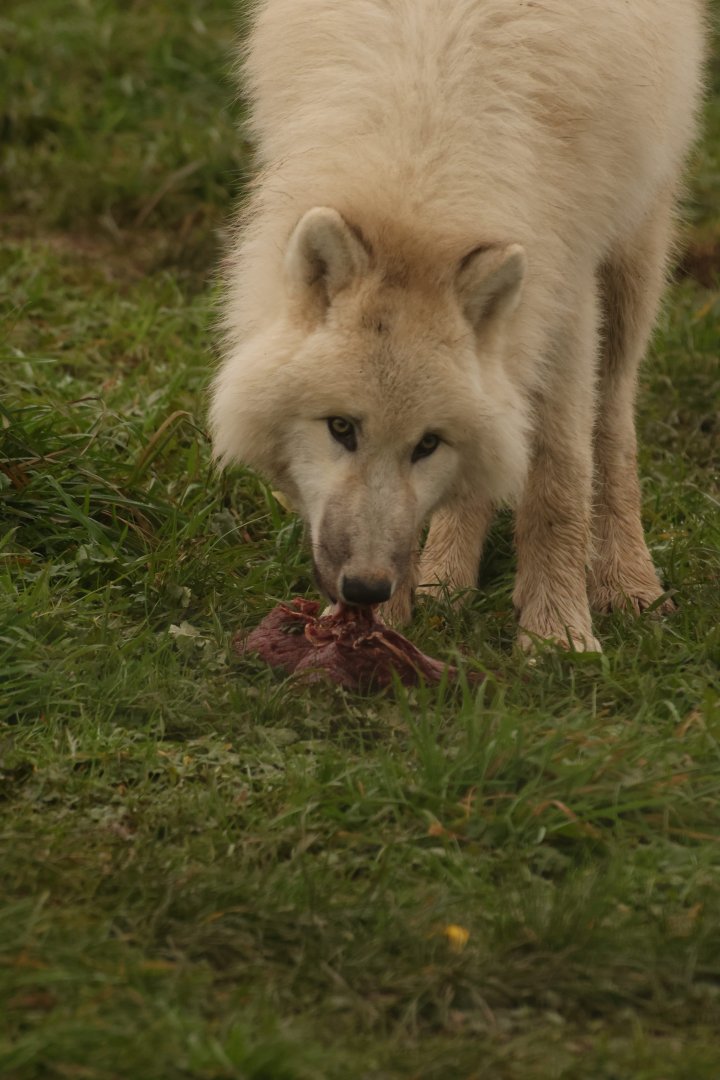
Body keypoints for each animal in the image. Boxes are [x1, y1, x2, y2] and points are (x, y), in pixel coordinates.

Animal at [210, 0, 705, 651]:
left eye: (426, 444)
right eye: (341, 428)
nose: (365, 589)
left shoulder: (565, 303)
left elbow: (559, 478)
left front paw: (558, 637)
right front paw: (390, 623)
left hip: (632, 265)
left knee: (613, 424)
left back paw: (628, 583)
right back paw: (445, 583)